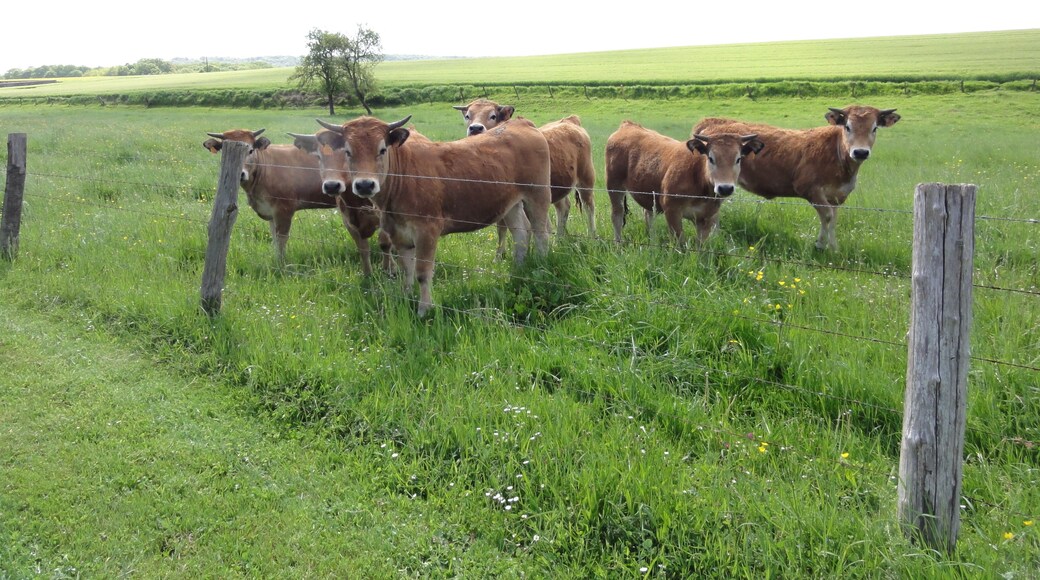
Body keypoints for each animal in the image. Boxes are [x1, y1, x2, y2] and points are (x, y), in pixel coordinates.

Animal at [203, 128, 392, 275]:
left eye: (250, 150)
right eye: (223, 151)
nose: (240, 174)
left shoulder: (284, 209)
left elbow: (281, 239)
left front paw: (281, 265)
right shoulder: (271, 212)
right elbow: (274, 238)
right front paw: (276, 260)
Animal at [294, 115, 552, 316]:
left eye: (382, 149)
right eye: (348, 152)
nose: (365, 185)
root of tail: (521, 123)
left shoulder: (427, 231)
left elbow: (421, 272)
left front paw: (424, 310)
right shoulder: (398, 233)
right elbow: (406, 270)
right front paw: (406, 298)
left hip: (538, 195)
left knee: (541, 232)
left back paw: (541, 264)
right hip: (511, 204)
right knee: (521, 234)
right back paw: (519, 267)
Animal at [454, 99, 597, 257]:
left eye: (493, 116)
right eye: (468, 116)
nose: (475, 128)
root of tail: (570, 120)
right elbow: (503, 229)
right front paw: (500, 256)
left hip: (586, 179)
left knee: (589, 207)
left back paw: (592, 237)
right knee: (564, 208)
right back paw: (558, 241)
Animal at [605, 121, 764, 248]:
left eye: (738, 159)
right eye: (711, 158)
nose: (725, 188)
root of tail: (628, 125)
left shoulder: (706, 217)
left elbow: (701, 247)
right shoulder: (672, 210)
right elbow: (680, 243)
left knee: (648, 215)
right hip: (614, 187)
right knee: (617, 215)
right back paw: (618, 246)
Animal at [693, 105, 900, 251]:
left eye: (874, 128)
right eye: (848, 127)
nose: (860, 152)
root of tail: (713, 121)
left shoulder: (837, 196)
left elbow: (833, 220)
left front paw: (834, 248)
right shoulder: (811, 189)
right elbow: (826, 216)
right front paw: (821, 245)